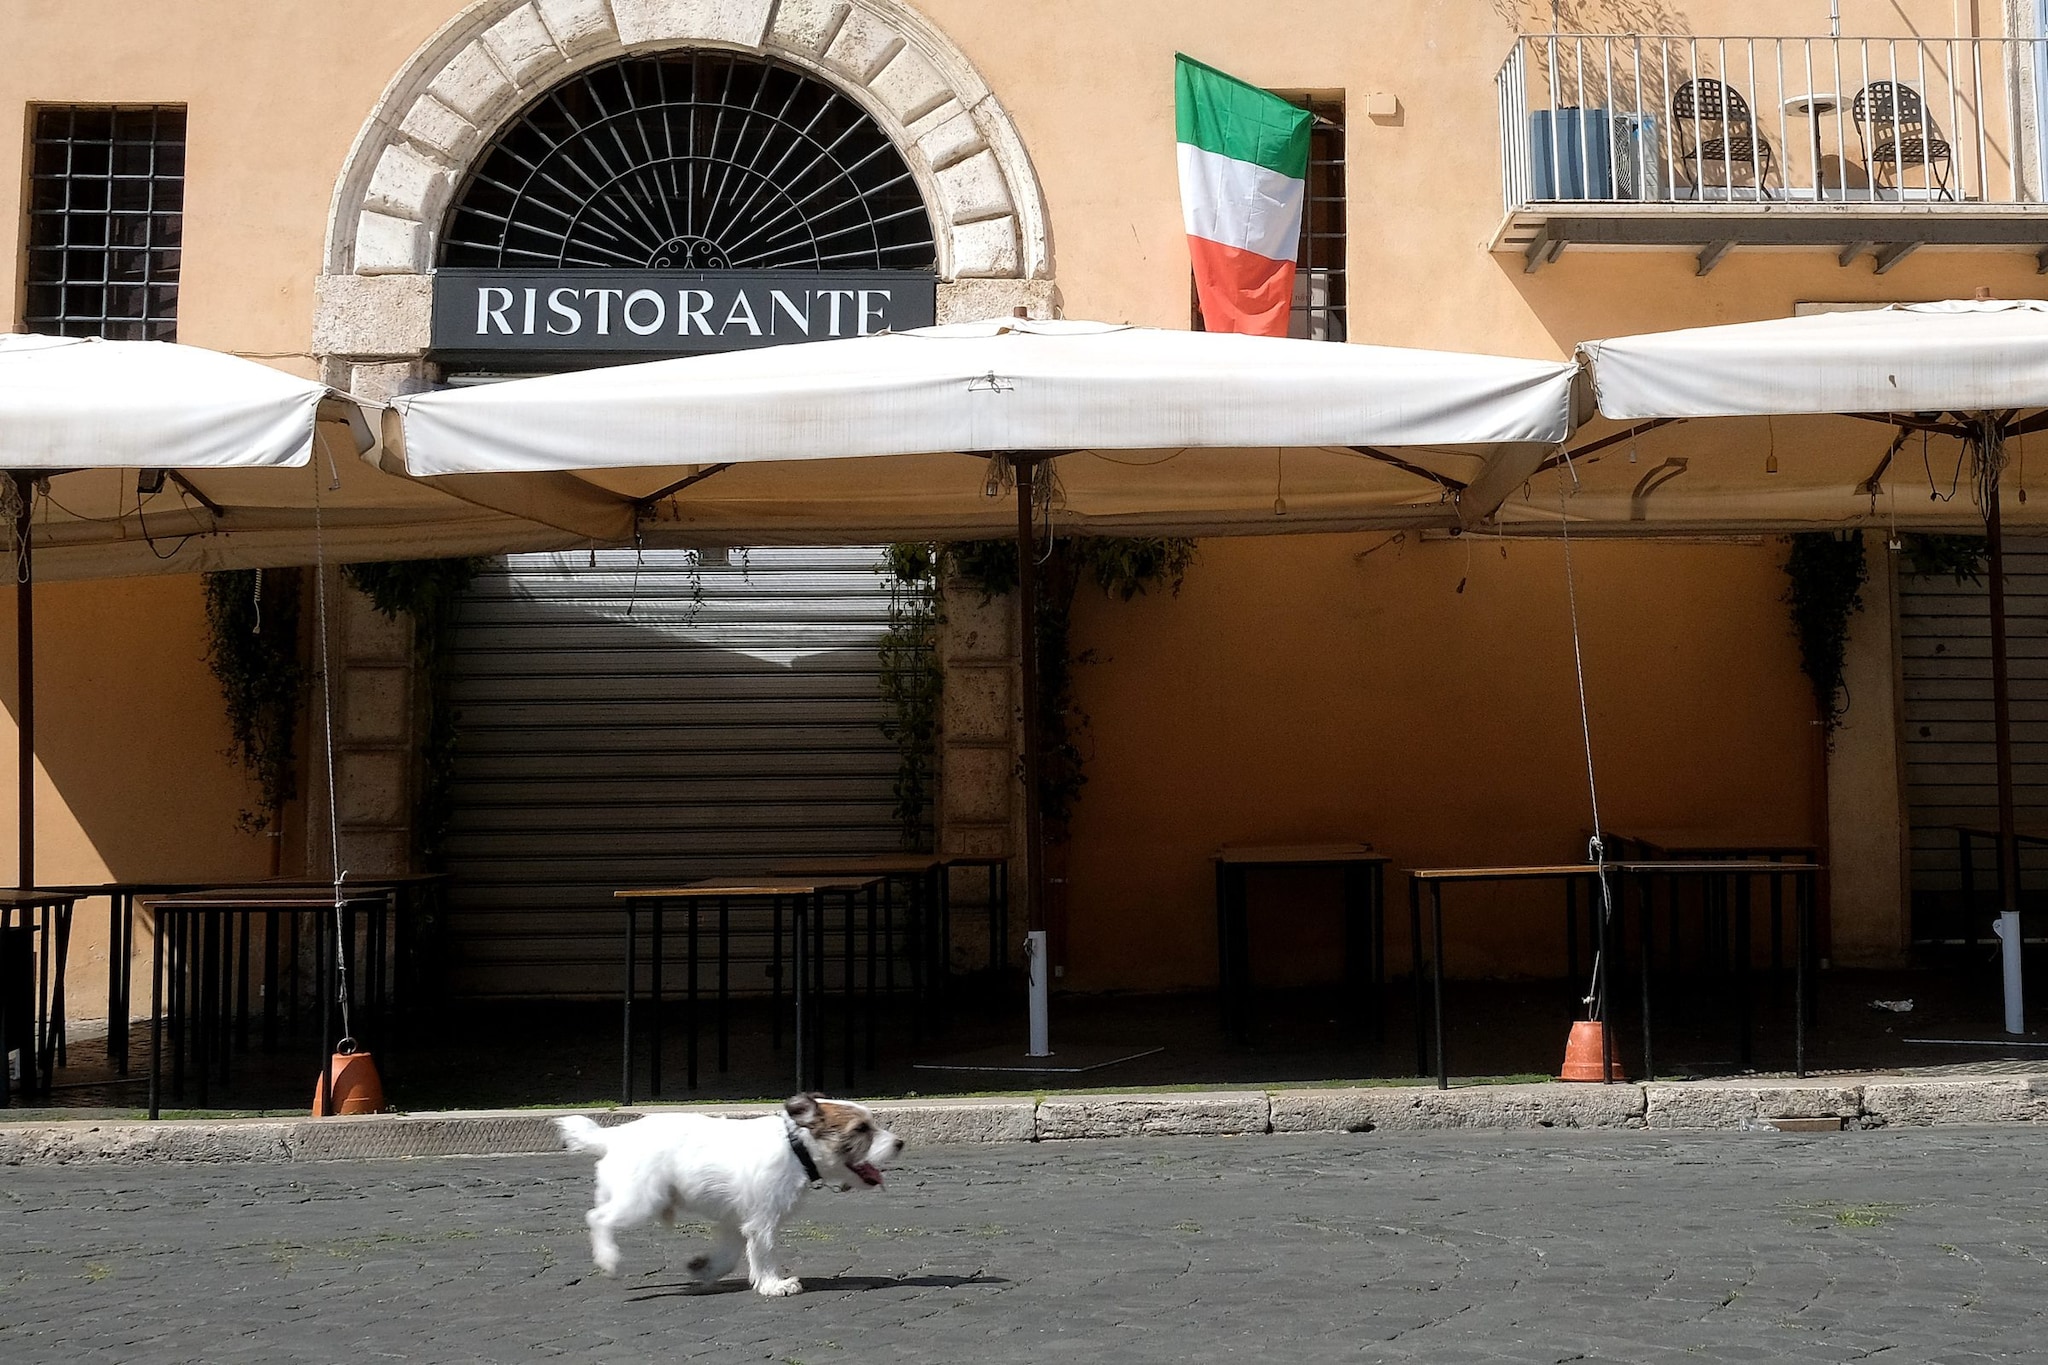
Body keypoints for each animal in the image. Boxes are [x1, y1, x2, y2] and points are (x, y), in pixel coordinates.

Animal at [561, 1096, 913, 1301]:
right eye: (861, 1129)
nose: (900, 1143)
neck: (796, 1148)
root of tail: (612, 1136)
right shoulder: (763, 1222)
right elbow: (764, 1253)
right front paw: (774, 1284)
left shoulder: (736, 1222)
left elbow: (729, 1256)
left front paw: (704, 1270)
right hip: (640, 1201)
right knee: (597, 1218)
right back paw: (609, 1260)